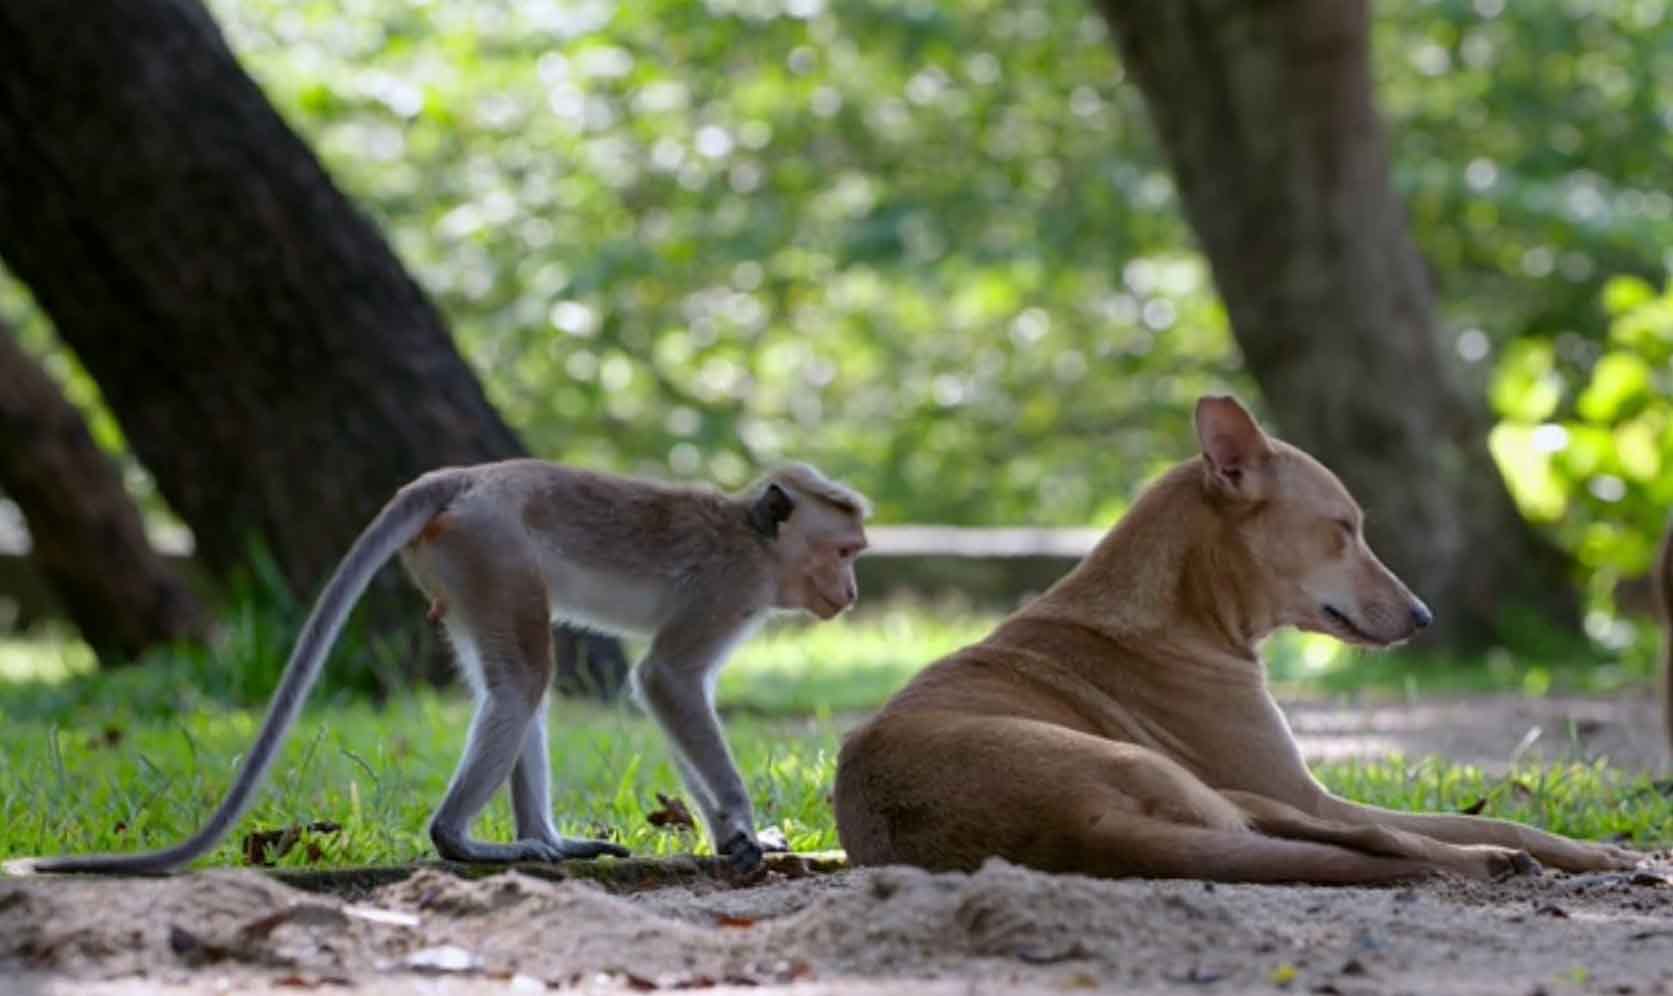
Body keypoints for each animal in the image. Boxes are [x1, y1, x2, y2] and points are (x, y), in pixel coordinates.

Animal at [9, 458, 876, 870]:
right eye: (844, 551)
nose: (853, 592)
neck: (755, 542)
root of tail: (464, 479)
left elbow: (668, 693)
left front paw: (739, 834)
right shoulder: (726, 592)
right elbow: (665, 681)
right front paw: (738, 828)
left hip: (462, 571)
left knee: (518, 682)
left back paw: (546, 841)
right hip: (491, 549)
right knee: (525, 678)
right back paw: (460, 840)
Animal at [829, 396, 1639, 890]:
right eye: (1344, 529)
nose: (1424, 616)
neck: (1183, 612)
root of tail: (1077, 827)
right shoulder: (1306, 790)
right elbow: (1482, 817)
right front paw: (1593, 851)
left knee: (1343, 847)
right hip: (1225, 791)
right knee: (1387, 844)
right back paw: (1492, 861)